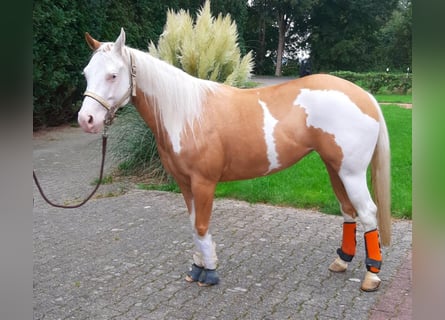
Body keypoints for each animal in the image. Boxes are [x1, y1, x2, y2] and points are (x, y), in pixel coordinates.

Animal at [79, 30, 388, 292]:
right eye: (86, 73)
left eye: (113, 75)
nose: (86, 120)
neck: (186, 114)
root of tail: (365, 96)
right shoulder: (184, 184)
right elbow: (193, 225)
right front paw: (197, 268)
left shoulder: (204, 183)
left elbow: (201, 226)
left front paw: (209, 273)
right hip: (334, 168)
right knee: (348, 210)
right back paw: (342, 262)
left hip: (351, 173)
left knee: (367, 212)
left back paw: (372, 276)